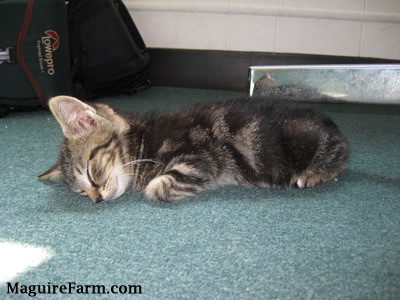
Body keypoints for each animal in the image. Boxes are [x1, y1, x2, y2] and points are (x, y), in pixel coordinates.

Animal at [39, 95, 348, 204]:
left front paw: (154, 187)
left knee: (342, 154)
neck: (142, 143)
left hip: (305, 141)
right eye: (80, 192)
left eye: (91, 172)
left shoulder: (201, 157)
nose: (97, 200)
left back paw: (314, 173)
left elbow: (155, 188)